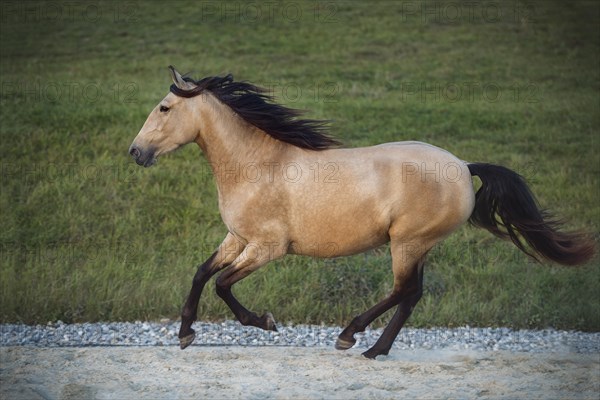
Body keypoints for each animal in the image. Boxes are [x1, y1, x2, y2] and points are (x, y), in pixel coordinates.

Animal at [127, 66, 596, 360]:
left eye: (164, 107)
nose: (135, 152)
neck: (257, 166)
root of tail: (464, 166)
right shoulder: (237, 239)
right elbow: (201, 273)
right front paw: (186, 334)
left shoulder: (267, 248)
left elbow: (223, 284)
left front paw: (265, 322)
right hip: (418, 245)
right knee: (412, 295)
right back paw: (374, 349)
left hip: (407, 242)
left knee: (402, 291)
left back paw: (350, 336)